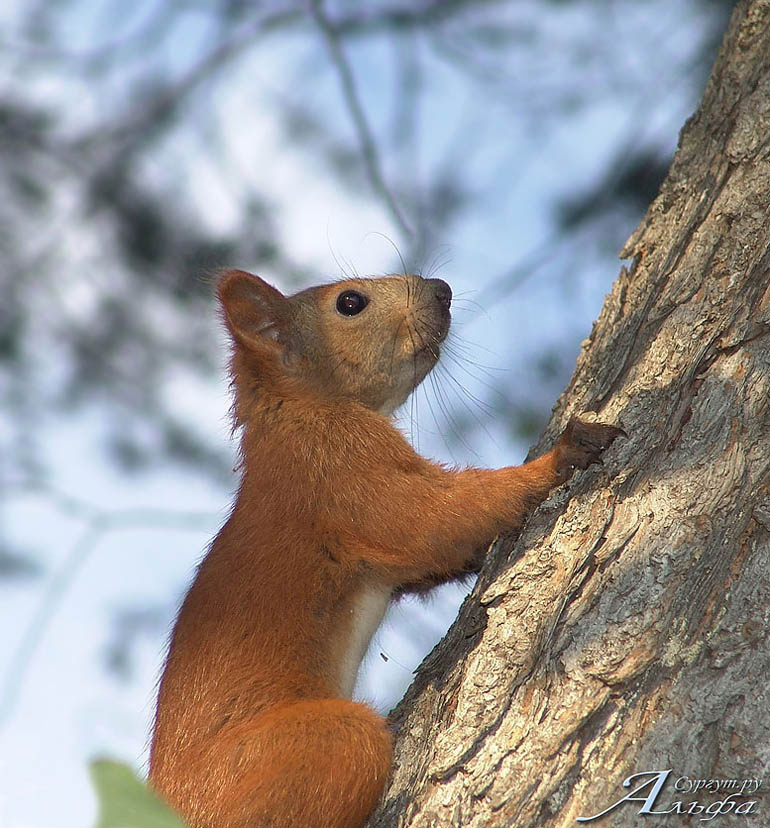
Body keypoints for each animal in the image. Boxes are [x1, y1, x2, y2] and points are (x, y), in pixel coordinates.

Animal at [149, 269, 623, 828]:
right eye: (350, 302)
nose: (443, 289)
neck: (297, 412)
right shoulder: (343, 467)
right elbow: (437, 519)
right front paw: (561, 456)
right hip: (321, 744)